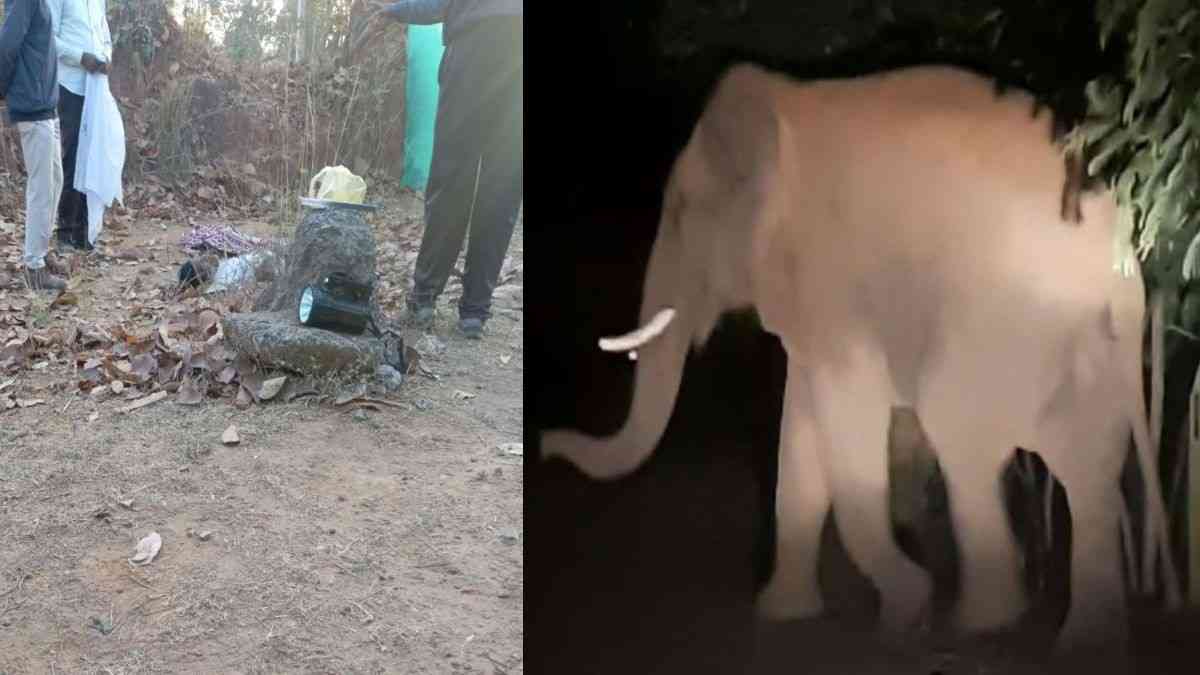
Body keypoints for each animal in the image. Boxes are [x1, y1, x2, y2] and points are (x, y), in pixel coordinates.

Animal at [538, 62, 1182, 652]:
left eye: (677, 214)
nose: (544, 446)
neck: (784, 104)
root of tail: (1120, 268)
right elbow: (798, 432)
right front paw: (781, 615)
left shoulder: (831, 277)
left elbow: (848, 422)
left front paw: (907, 611)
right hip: (1085, 347)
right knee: (1087, 467)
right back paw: (1084, 643)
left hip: (1000, 319)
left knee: (964, 438)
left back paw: (979, 625)